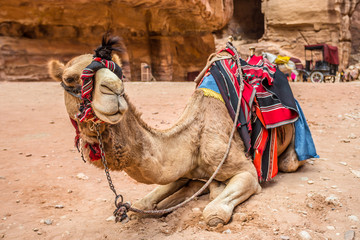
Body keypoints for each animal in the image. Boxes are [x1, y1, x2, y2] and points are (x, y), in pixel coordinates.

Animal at [48, 39, 304, 227]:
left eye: (119, 74)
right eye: (68, 78)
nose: (114, 90)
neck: (193, 137)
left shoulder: (245, 171)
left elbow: (213, 211)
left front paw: (212, 192)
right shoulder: (179, 169)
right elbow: (145, 201)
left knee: (290, 162)